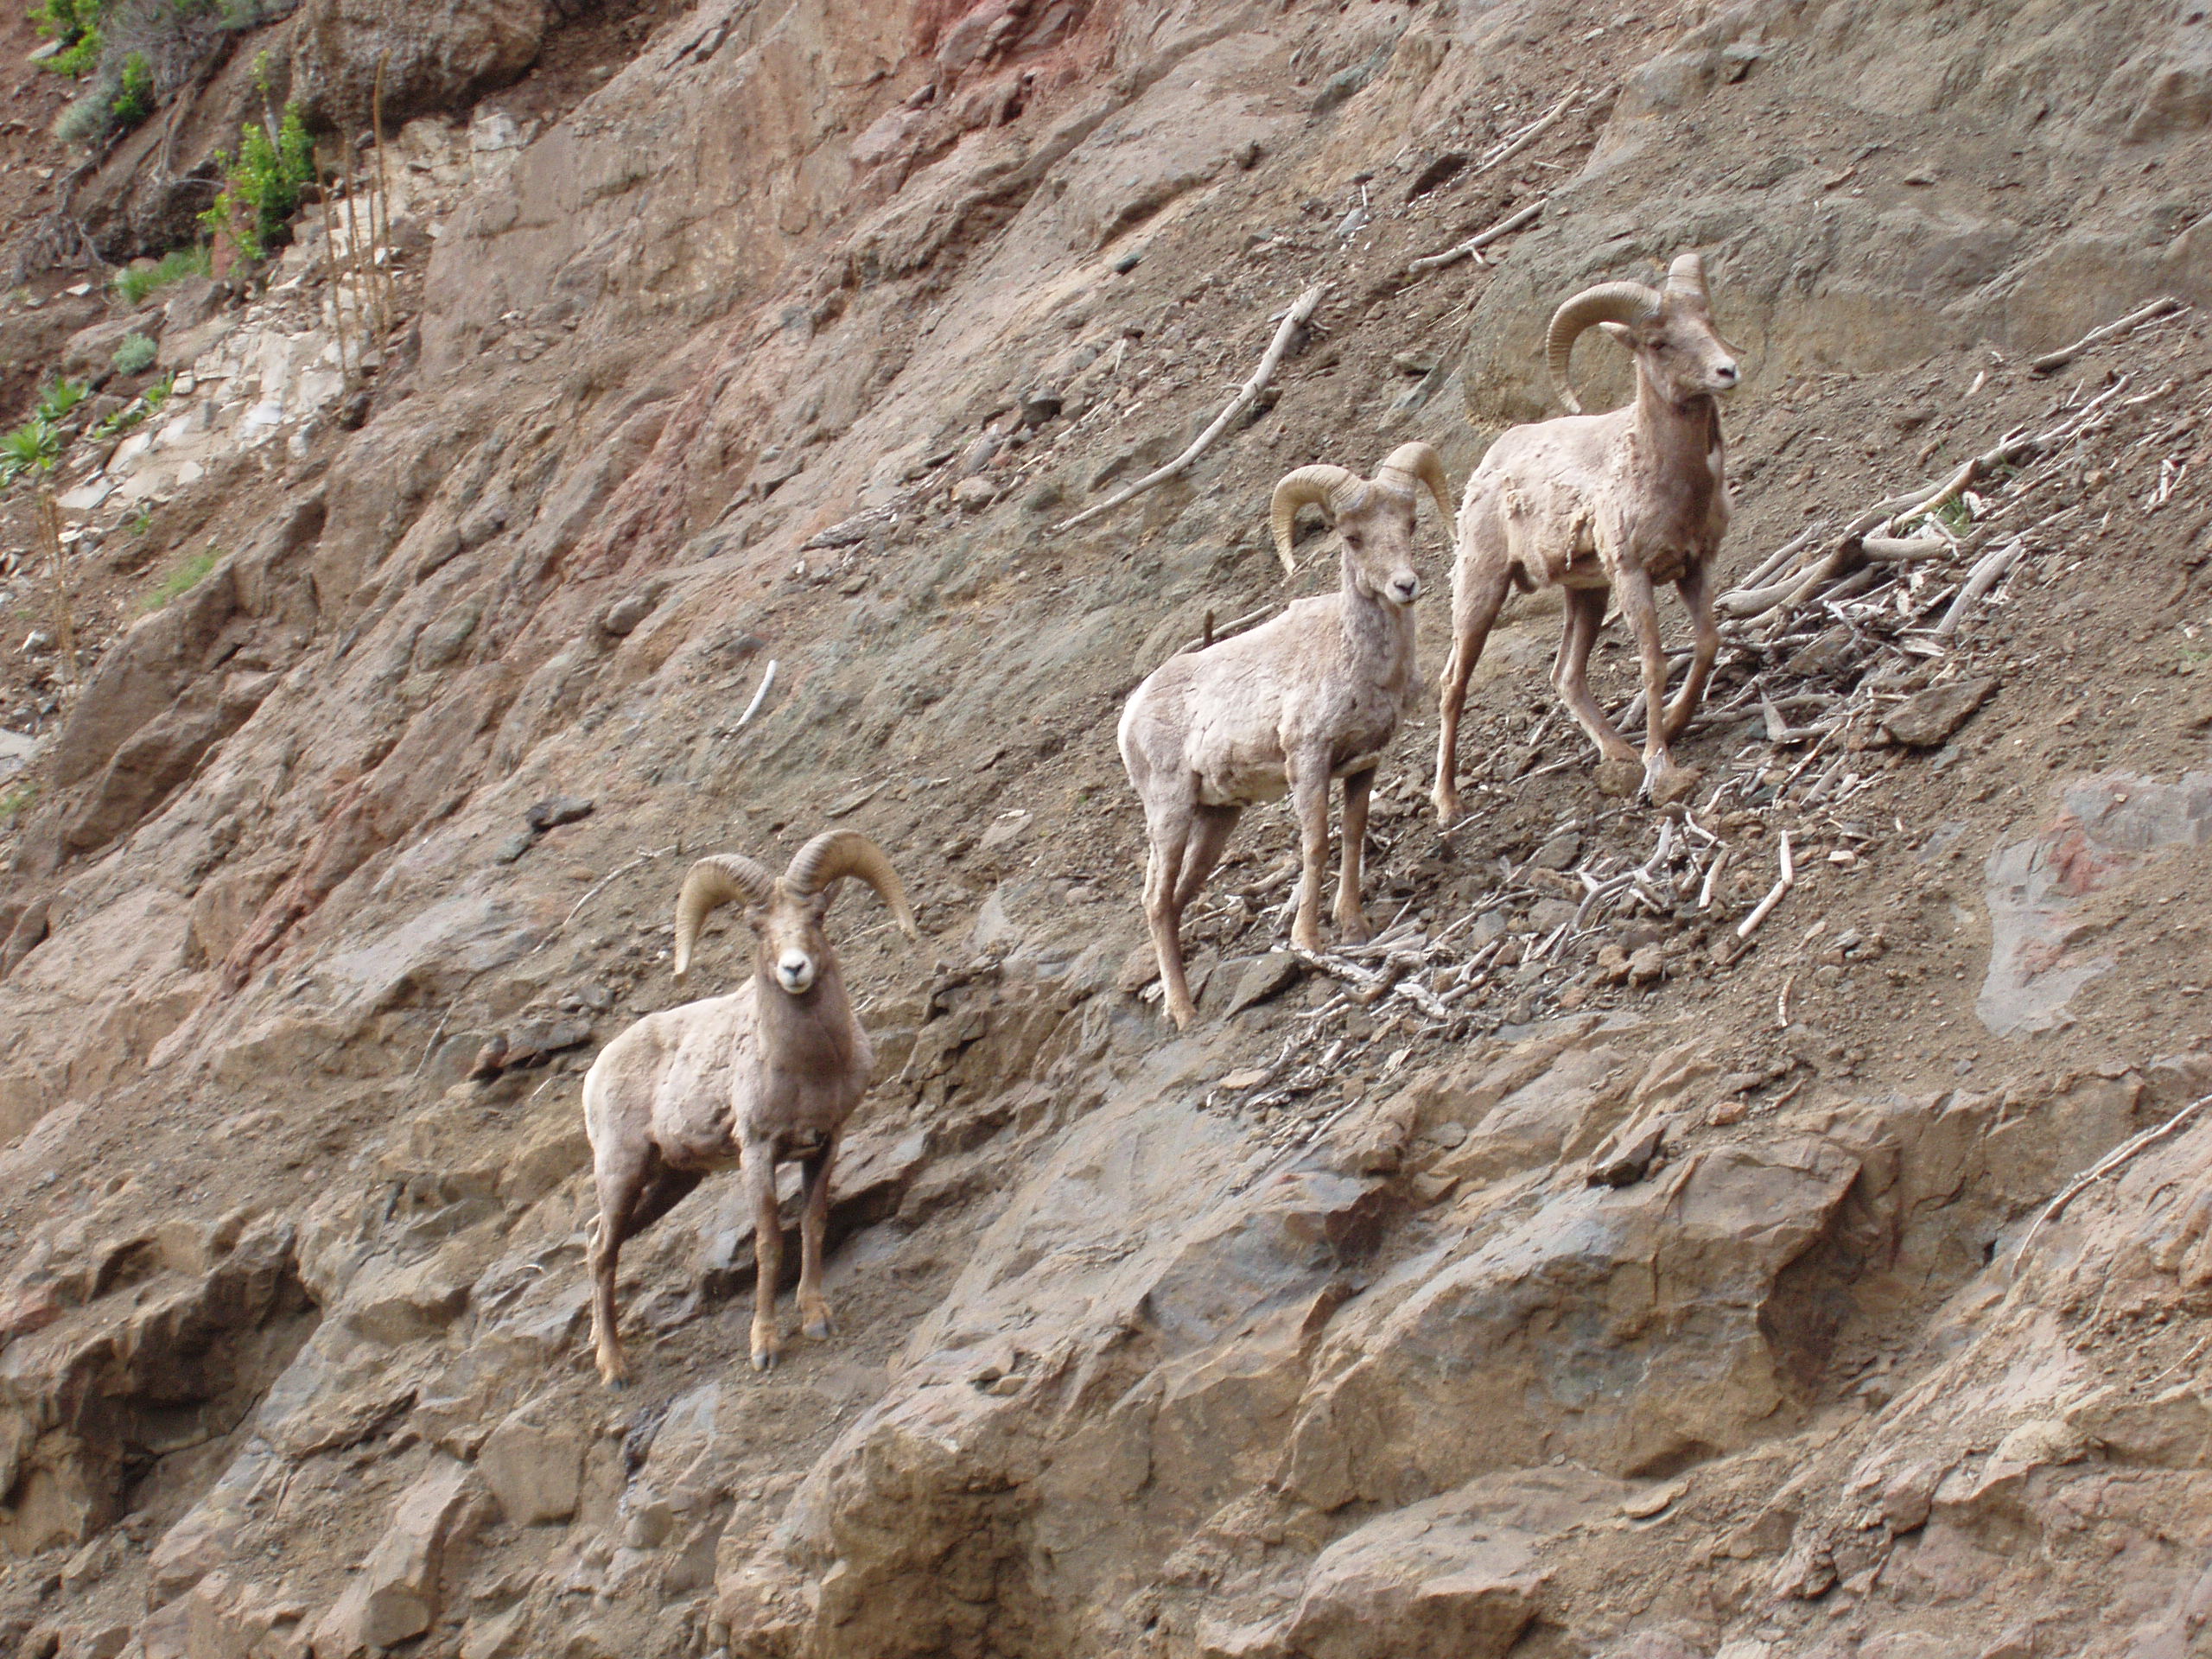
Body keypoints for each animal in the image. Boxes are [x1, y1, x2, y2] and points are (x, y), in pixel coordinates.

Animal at [579, 831, 915, 1389]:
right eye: (757, 928)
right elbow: (769, 1244)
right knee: (605, 1253)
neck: (809, 1069)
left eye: (817, 916)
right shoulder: (756, 1151)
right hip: (622, 1172)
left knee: (593, 1241)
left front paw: (816, 1319)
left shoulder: (827, 1141)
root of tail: (596, 1072)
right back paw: (613, 1368)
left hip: (669, 1181)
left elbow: (812, 1223)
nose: (794, 969)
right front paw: (765, 1348)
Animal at [1115, 448, 1459, 1035]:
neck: (1362, 666)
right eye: (1352, 537)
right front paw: (1308, 941)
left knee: (1177, 898)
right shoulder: (1308, 761)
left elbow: (1352, 834)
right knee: (1156, 900)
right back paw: (1183, 1012)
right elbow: (1315, 845)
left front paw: (1354, 926)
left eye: (1410, 524)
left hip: (1217, 818)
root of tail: (1130, 715)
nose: (1405, 586)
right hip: (1170, 812)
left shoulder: (1362, 764)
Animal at [1433, 251, 1743, 818]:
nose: (1726, 371)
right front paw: (1660, 763)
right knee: (1453, 685)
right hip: (1482, 589)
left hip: (1587, 595)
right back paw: (1447, 803)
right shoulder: (1633, 574)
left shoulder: (1695, 566)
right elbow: (1653, 664)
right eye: (1658, 342)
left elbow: (1708, 641)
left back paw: (1619, 754)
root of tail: (1489, 465)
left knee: (1566, 676)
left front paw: (1674, 724)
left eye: (1708, 322)